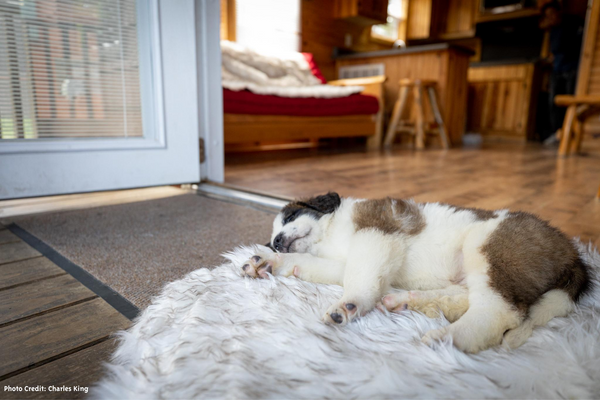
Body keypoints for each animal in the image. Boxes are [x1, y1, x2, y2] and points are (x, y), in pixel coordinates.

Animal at [240, 194, 592, 354]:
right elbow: (327, 266)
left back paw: (446, 338)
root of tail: (571, 251)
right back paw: (405, 302)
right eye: (272, 238)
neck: (329, 234)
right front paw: (269, 262)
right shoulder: (342, 259)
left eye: (290, 216)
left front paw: (349, 304)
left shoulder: (375, 232)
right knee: (467, 298)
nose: (277, 241)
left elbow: (360, 277)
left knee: (498, 311)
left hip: (489, 248)